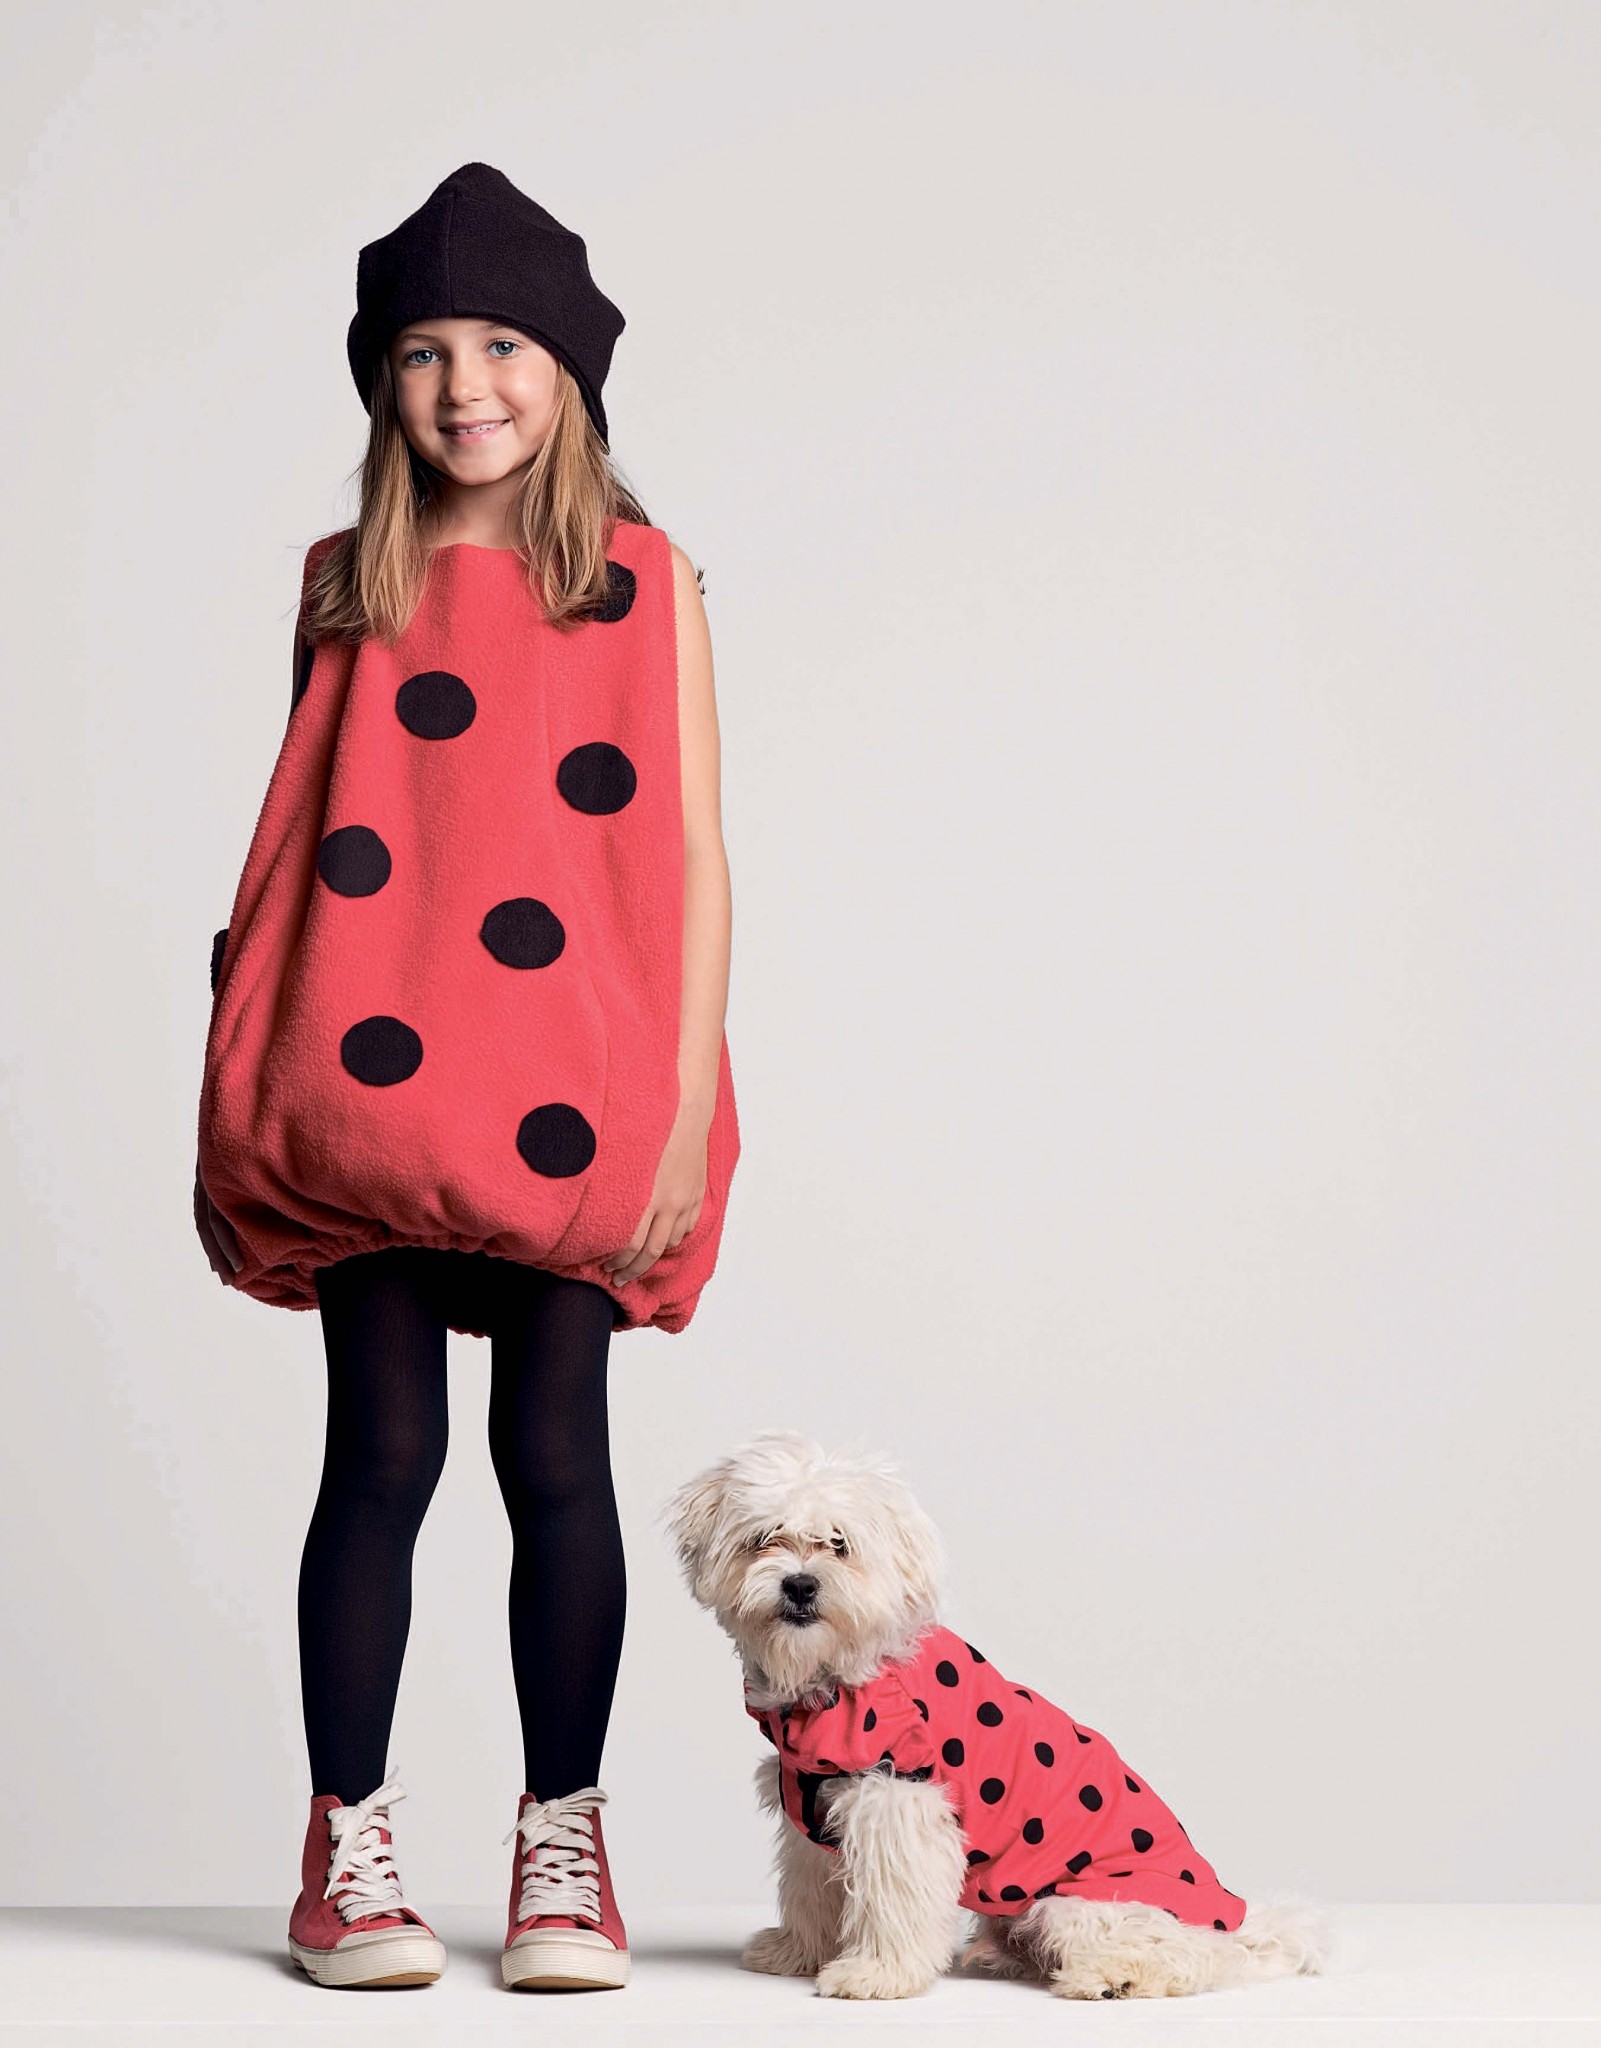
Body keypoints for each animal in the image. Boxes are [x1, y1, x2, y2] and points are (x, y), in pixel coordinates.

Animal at [663, 1429, 1331, 2001]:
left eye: (839, 1544)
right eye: (765, 1538)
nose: (800, 1586)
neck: (835, 1677)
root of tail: (1236, 1919)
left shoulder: (896, 1800)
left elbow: (893, 1898)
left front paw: (877, 1975)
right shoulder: (812, 1803)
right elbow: (810, 1890)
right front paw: (797, 1952)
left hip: (1078, 1902)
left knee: (1193, 1953)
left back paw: (1117, 1977)